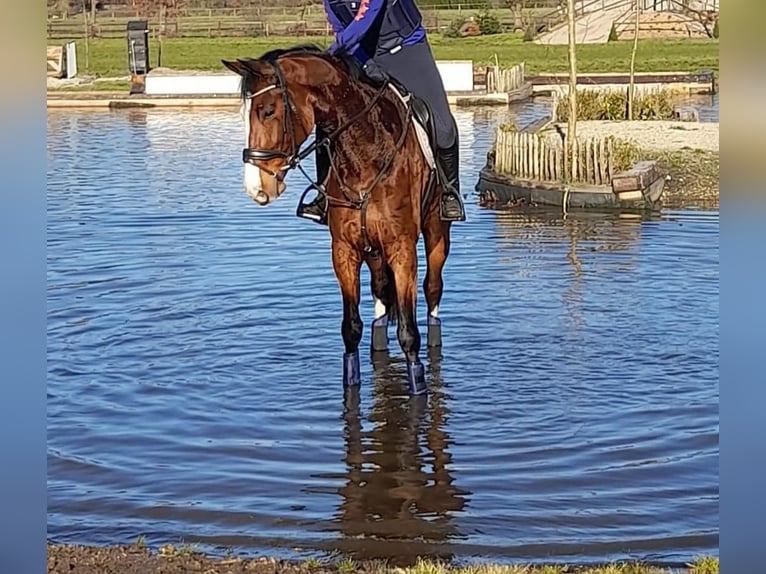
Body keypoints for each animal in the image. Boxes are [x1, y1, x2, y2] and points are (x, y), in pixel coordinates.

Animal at [221, 44, 455, 395]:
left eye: (268, 111)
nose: (256, 188)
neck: (366, 150)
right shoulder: (344, 250)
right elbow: (350, 328)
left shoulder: (402, 249)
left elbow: (409, 333)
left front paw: (418, 388)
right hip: (372, 251)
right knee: (381, 293)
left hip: (436, 231)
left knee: (432, 290)